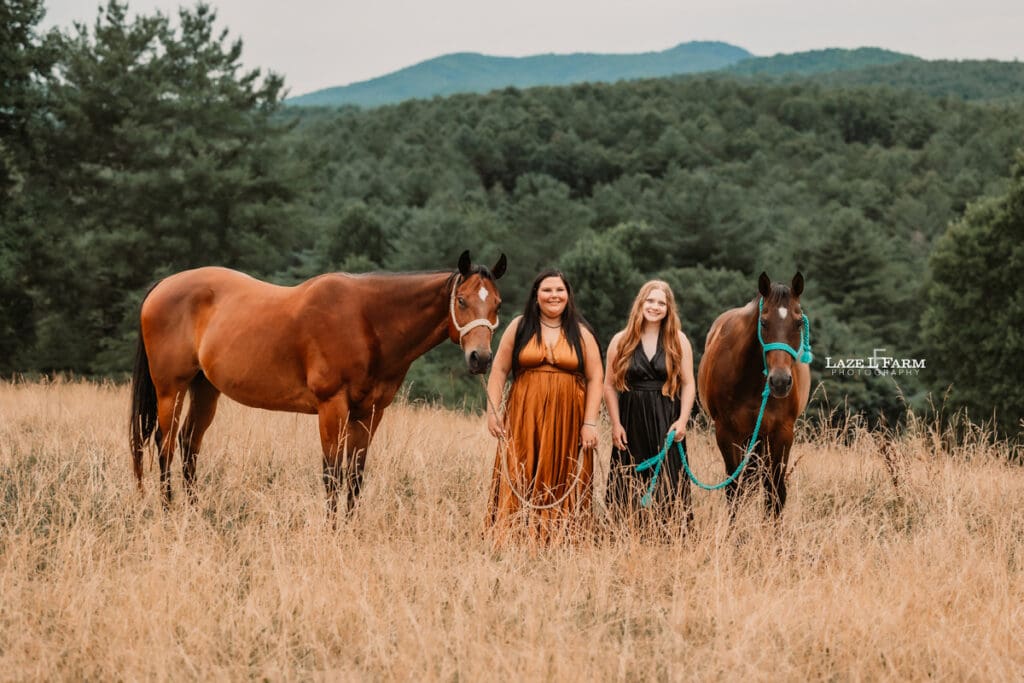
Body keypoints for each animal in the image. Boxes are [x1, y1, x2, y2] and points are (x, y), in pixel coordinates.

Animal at [129, 250, 507, 515]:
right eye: (462, 300)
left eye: (498, 304)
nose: (481, 358)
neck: (367, 320)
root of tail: (162, 286)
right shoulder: (332, 407)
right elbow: (333, 474)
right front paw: (333, 529)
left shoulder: (369, 413)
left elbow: (355, 476)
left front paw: (350, 528)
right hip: (170, 389)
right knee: (164, 445)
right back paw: (169, 510)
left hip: (205, 389)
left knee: (189, 444)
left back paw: (194, 511)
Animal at [697, 272, 811, 518]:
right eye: (764, 322)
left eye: (798, 323)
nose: (780, 381)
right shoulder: (727, 433)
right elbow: (734, 490)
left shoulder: (782, 432)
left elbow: (775, 491)